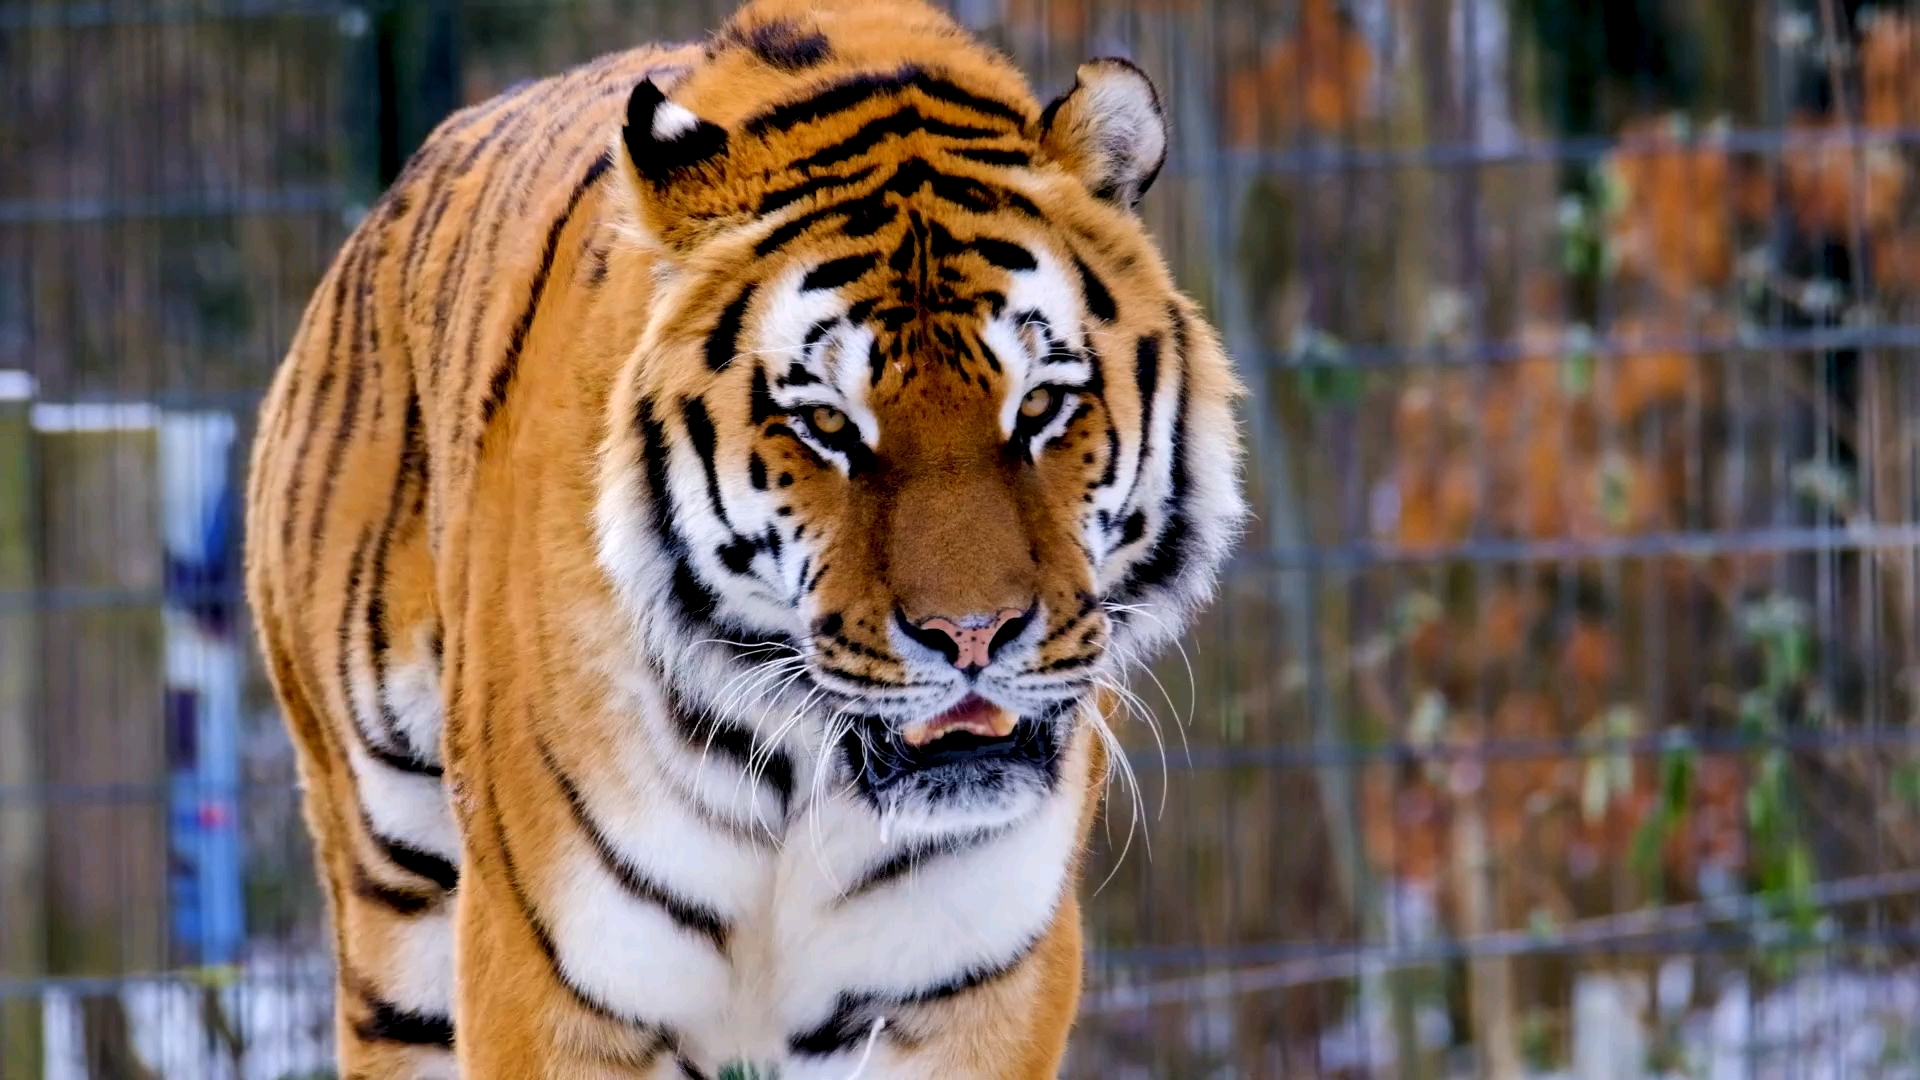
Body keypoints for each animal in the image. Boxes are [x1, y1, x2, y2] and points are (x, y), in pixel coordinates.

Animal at [240, 0, 1251, 1068]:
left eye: (1043, 406)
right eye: (830, 425)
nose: (973, 636)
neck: (807, 777)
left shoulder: (969, 988)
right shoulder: (550, 980)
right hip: (389, 890)